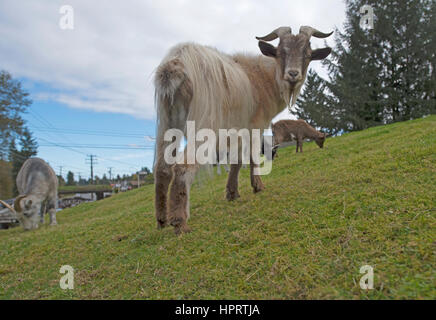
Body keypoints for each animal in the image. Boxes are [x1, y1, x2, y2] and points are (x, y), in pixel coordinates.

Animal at [154, 25, 334, 235]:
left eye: (307, 54)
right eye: (281, 52)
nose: (293, 74)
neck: (263, 78)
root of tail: (176, 63)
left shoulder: (237, 131)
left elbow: (237, 160)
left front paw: (232, 193)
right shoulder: (255, 125)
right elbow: (252, 156)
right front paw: (258, 187)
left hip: (167, 120)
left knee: (162, 168)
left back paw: (162, 220)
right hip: (204, 121)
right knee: (183, 166)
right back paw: (179, 222)